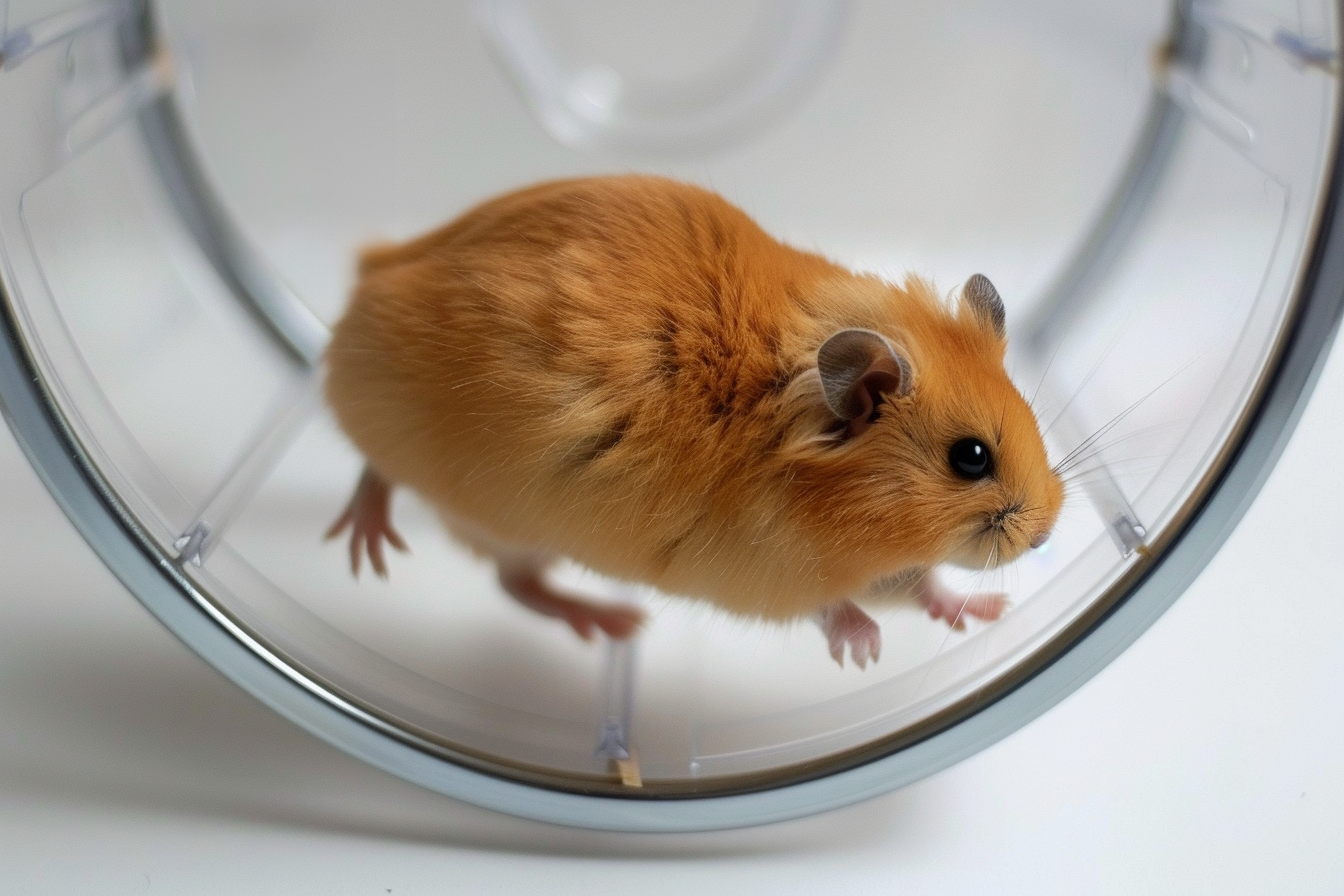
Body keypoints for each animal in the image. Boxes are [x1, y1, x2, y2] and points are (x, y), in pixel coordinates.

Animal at [324, 174, 1063, 668]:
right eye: (970, 458)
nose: (1044, 538)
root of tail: (375, 273)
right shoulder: (771, 573)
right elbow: (832, 608)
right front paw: (865, 653)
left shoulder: (883, 569)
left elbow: (922, 584)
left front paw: (985, 614)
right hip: (446, 470)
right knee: (383, 476)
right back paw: (372, 550)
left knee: (513, 583)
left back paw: (612, 624)